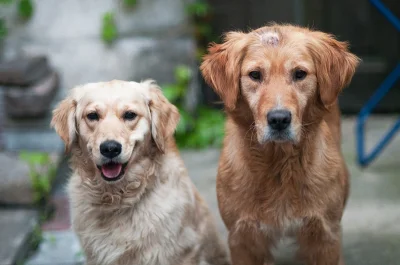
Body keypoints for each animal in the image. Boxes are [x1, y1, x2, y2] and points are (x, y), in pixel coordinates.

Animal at [200, 23, 360, 262]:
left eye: (299, 74)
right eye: (255, 75)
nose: (279, 119)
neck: (278, 164)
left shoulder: (324, 237)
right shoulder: (243, 237)